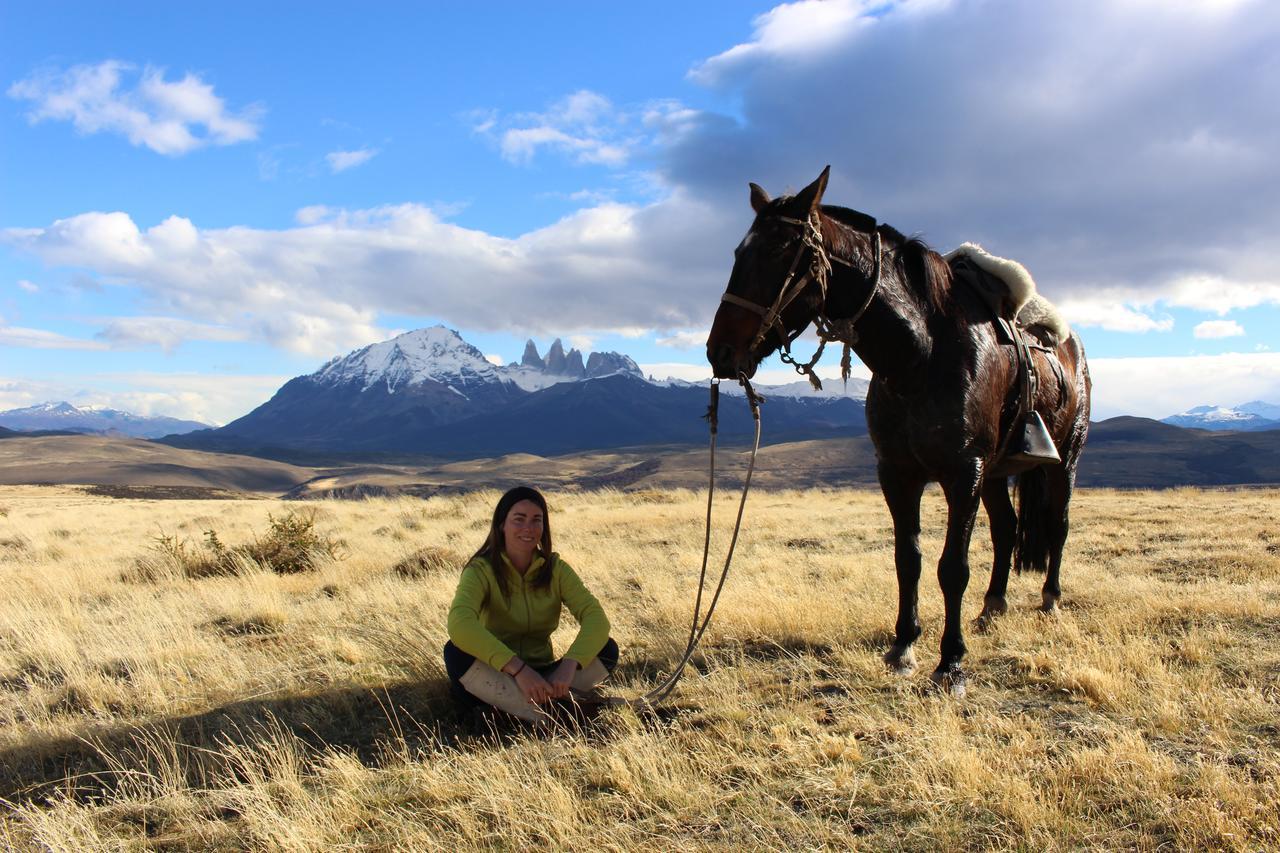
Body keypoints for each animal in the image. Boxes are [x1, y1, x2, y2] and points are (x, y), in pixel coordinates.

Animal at [711, 166, 1090, 691]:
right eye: (737, 253)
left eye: (779, 251)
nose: (719, 352)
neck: (920, 356)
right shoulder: (897, 472)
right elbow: (907, 559)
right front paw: (904, 646)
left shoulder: (963, 471)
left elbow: (952, 567)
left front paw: (951, 663)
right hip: (997, 473)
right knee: (1007, 529)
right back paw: (992, 607)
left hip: (1062, 461)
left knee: (1058, 524)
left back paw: (1050, 598)